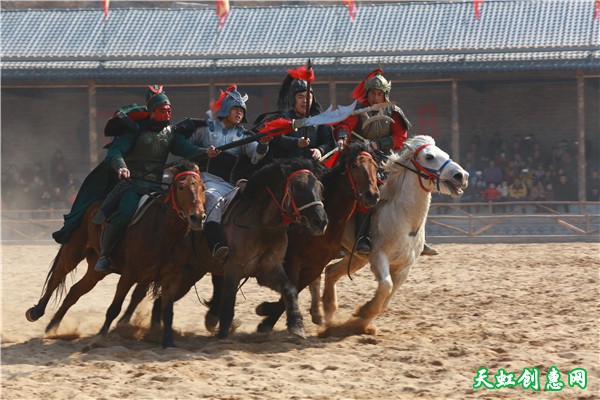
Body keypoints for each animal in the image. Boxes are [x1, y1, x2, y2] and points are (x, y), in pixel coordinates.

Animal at [25, 160, 206, 340]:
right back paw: (35, 312)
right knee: (56, 277)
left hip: (96, 270)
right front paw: (100, 336)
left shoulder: (172, 276)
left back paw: (52, 327)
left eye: (203, 188)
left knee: (74, 292)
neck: (163, 231)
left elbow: (166, 309)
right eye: (181, 187)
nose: (197, 217)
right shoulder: (129, 274)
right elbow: (114, 308)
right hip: (74, 251)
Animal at [253, 142, 380, 332]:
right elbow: (292, 287)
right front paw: (267, 316)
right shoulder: (293, 259)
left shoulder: (317, 265)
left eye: (375, 166)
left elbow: (296, 289)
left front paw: (267, 314)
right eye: (354, 165)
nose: (372, 195)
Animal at [312, 136, 472, 336]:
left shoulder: (404, 268)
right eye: (429, 157)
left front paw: (361, 322)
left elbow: (387, 298)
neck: (404, 220)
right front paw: (363, 312)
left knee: (330, 271)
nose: (462, 176)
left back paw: (328, 310)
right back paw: (317, 314)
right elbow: (386, 286)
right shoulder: (378, 257)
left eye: (446, 154)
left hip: (356, 257)